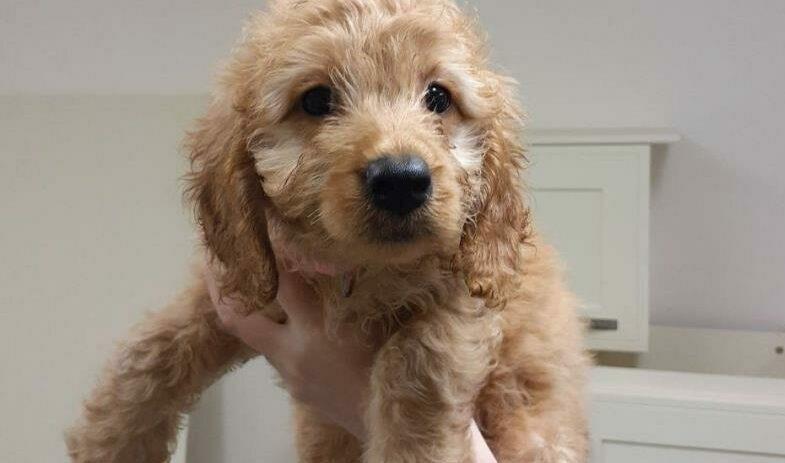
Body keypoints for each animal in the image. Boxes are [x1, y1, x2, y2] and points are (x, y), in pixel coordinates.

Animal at [67, 0, 584, 462]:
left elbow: (417, 364)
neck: (360, 267)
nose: (401, 180)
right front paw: (109, 440)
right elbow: (154, 346)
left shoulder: (465, 297)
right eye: (316, 99)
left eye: (439, 97)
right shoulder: (240, 288)